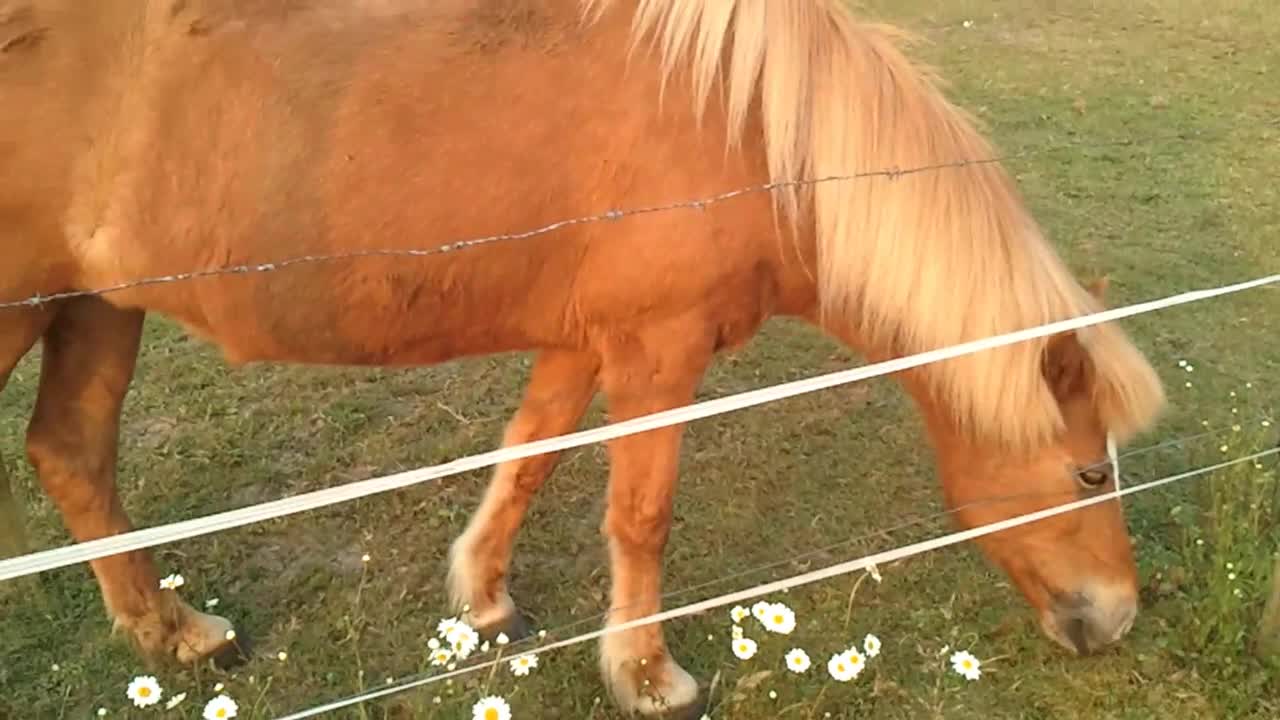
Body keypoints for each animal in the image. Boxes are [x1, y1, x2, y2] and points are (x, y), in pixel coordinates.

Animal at [0, 0, 1167, 712]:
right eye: (1087, 472)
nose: (1114, 619)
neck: (748, 132)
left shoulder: (580, 340)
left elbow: (529, 458)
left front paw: (484, 601)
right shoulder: (657, 351)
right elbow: (638, 516)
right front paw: (646, 676)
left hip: (96, 308)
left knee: (72, 455)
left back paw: (172, 633)